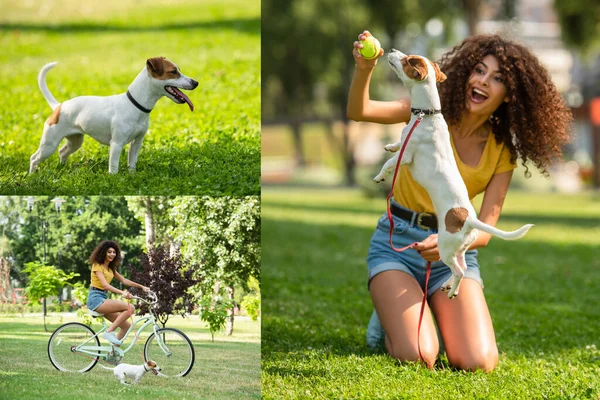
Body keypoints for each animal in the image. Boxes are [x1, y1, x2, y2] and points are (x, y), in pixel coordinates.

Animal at [30, 56, 198, 173]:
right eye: (173, 72)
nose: (195, 82)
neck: (135, 105)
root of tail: (59, 106)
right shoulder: (116, 144)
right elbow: (114, 166)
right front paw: (114, 178)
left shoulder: (137, 143)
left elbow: (132, 163)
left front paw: (132, 175)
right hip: (49, 144)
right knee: (34, 158)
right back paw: (32, 176)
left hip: (75, 141)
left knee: (63, 152)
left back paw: (62, 168)